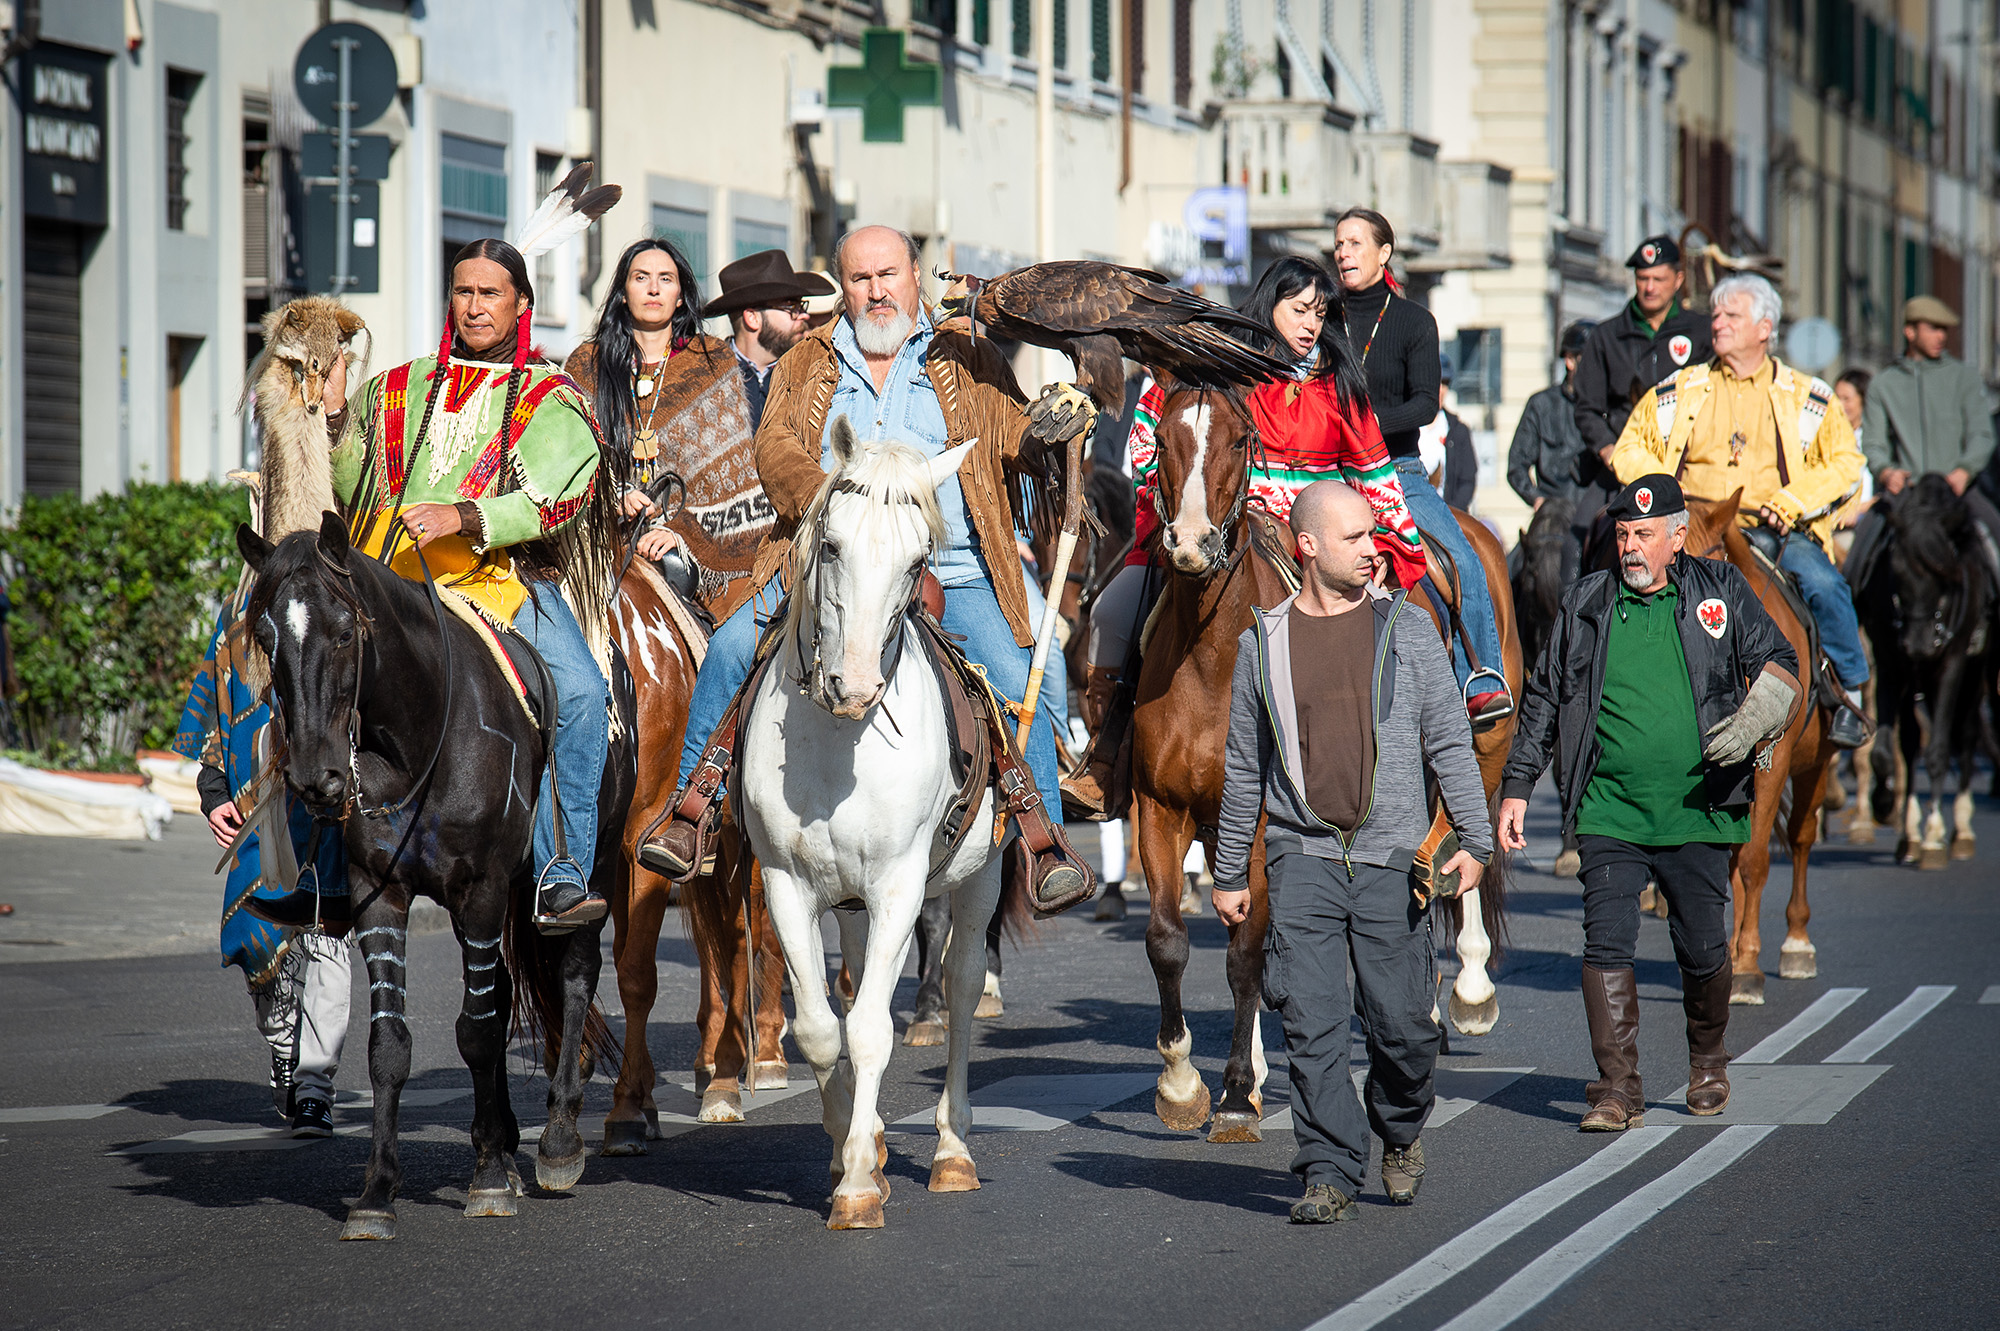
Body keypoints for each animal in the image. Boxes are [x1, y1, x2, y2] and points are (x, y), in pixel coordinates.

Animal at [242, 515, 632, 1231]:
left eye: (346, 631)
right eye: (265, 635)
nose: (316, 777)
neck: (417, 737)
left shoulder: (480, 889)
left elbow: (476, 1033)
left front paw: (488, 1181)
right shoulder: (380, 895)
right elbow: (390, 1045)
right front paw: (377, 1194)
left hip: (597, 863)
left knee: (575, 972)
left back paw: (557, 1139)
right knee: (502, 993)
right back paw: (504, 1140)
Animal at [740, 419, 1008, 1231]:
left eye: (918, 560)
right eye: (830, 546)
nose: (854, 685)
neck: (839, 740)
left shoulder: (898, 887)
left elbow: (869, 1030)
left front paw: (858, 1183)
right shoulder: (786, 884)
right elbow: (822, 1027)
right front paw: (848, 1149)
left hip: (979, 879)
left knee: (959, 987)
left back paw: (953, 1150)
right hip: (851, 903)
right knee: (860, 984)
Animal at [1848, 471, 1992, 867]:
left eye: (1946, 573)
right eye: (1895, 570)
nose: (1920, 645)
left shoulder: (1953, 664)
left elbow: (1939, 751)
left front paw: (1933, 838)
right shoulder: (1889, 664)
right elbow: (1884, 752)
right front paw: (1884, 807)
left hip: (1973, 675)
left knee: (1967, 735)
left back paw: (1959, 831)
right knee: (1909, 742)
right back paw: (1906, 832)